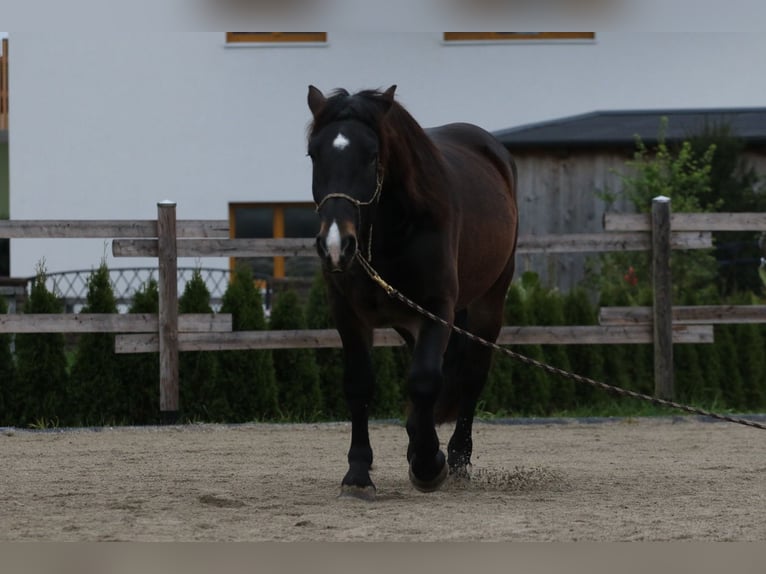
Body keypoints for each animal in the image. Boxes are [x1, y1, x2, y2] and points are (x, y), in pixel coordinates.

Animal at [307, 85, 519, 499]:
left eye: (372, 155)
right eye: (313, 153)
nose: (336, 245)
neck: (386, 233)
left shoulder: (438, 309)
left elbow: (424, 380)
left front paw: (428, 464)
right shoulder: (348, 313)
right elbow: (359, 385)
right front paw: (358, 473)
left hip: (488, 304)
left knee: (471, 376)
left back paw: (455, 458)